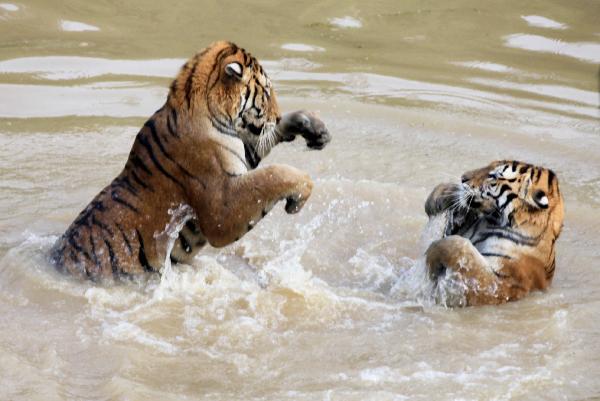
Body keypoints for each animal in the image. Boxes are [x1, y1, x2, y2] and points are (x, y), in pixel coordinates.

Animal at [50, 39, 332, 278]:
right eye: (266, 91)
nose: (277, 114)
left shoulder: (244, 153)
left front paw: (313, 127)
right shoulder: (222, 204)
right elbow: (274, 175)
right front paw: (301, 193)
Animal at [422, 159, 564, 306]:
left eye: (493, 176)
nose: (463, 178)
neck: (493, 221)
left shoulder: (497, 284)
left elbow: (458, 246)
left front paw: (430, 262)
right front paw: (437, 198)